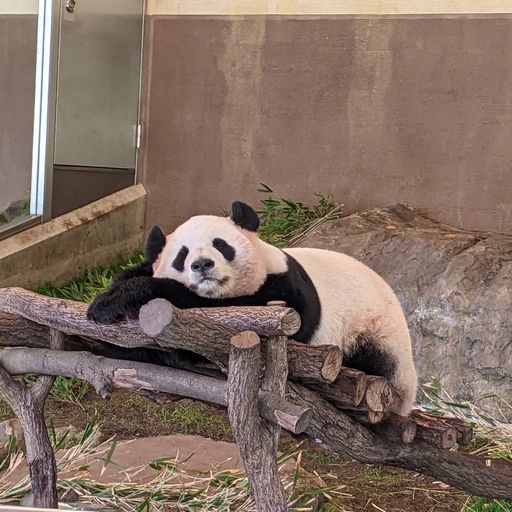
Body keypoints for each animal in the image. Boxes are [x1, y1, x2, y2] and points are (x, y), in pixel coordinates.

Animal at [87, 202, 416, 414]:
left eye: (221, 245)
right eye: (182, 255)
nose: (201, 265)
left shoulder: (283, 291)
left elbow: (222, 322)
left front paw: (121, 300)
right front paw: (108, 302)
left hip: (374, 334)